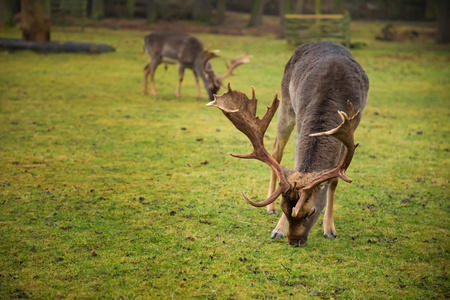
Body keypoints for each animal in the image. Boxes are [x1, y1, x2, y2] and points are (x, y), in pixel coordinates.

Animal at [208, 41, 370, 246]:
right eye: (285, 208)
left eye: (312, 212)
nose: (294, 241)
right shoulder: (301, 123)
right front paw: (278, 229)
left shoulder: (352, 127)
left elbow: (333, 181)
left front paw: (330, 230)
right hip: (285, 104)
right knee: (276, 149)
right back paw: (270, 207)